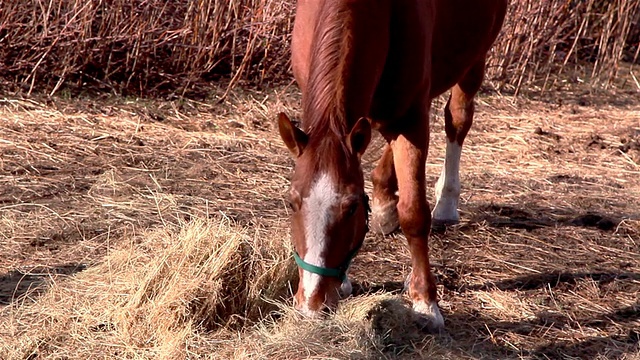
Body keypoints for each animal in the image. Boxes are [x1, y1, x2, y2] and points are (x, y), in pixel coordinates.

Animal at [278, 0, 508, 330]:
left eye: (351, 207)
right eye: (292, 202)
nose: (312, 304)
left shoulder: (411, 119)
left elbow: (414, 213)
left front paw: (425, 302)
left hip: (473, 61)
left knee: (458, 118)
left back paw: (446, 203)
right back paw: (385, 202)